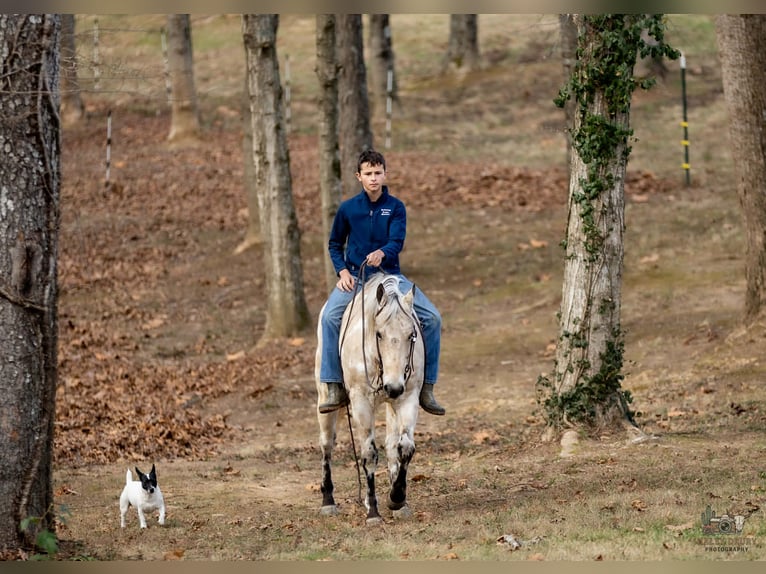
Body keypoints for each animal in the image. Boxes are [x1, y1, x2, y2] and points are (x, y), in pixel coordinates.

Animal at [315, 273, 425, 524]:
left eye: (411, 335)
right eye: (379, 334)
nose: (393, 387)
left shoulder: (408, 398)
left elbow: (404, 448)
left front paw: (397, 498)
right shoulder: (361, 403)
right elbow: (369, 454)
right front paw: (373, 512)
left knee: (392, 445)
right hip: (324, 399)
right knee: (327, 444)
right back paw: (328, 501)